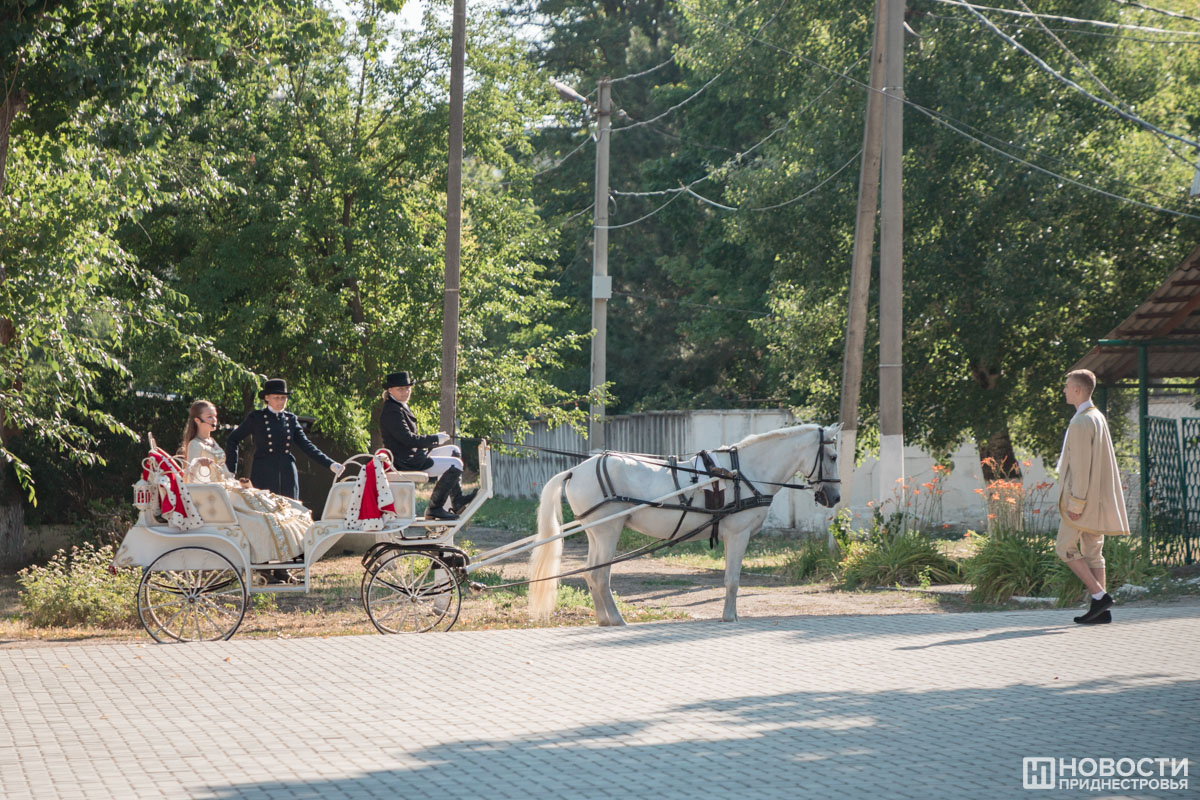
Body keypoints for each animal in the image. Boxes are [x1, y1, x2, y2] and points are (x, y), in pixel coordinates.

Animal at [530, 424, 840, 623]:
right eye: (834, 456)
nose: (835, 497)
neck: (743, 474)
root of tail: (574, 470)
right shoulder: (737, 535)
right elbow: (732, 579)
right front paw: (730, 617)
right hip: (609, 531)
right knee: (599, 576)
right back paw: (616, 620)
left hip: (596, 534)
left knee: (590, 574)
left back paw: (604, 619)